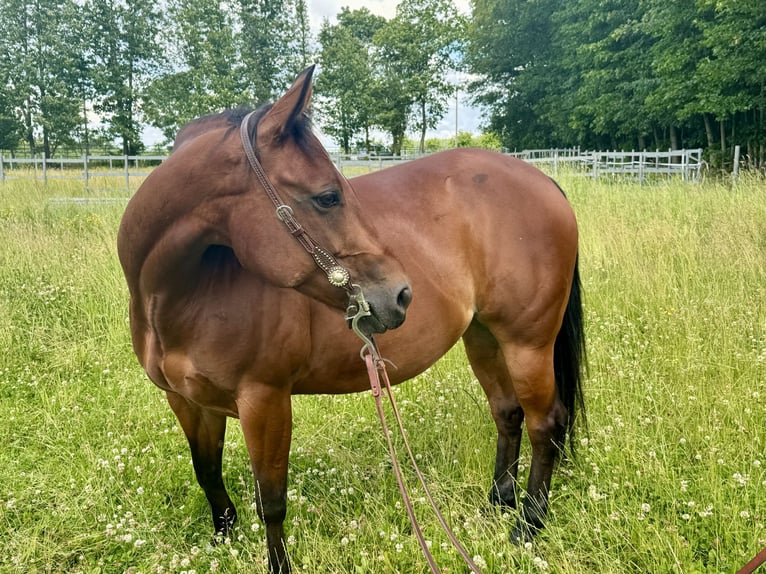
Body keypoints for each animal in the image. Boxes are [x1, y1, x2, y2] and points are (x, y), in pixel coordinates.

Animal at [118, 65, 588, 572]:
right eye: (328, 197)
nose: (401, 294)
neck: (184, 293)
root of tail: (541, 180)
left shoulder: (264, 400)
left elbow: (271, 501)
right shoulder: (186, 401)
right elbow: (207, 471)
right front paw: (223, 537)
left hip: (527, 344)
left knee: (546, 423)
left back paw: (529, 523)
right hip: (482, 337)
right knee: (507, 413)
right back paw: (497, 503)